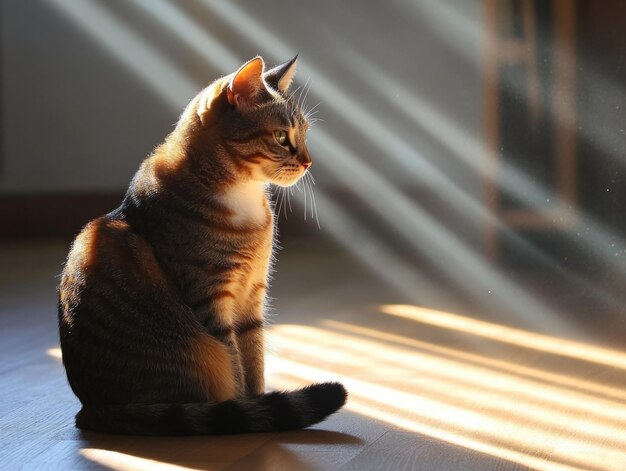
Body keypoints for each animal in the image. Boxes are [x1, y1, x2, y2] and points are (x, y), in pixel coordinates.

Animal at [58, 57, 346, 436]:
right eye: (282, 136)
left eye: (305, 133)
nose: (309, 161)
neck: (244, 199)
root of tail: (93, 407)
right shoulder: (210, 298)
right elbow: (234, 364)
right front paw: (247, 411)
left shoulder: (252, 295)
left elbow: (253, 359)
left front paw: (258, 401)